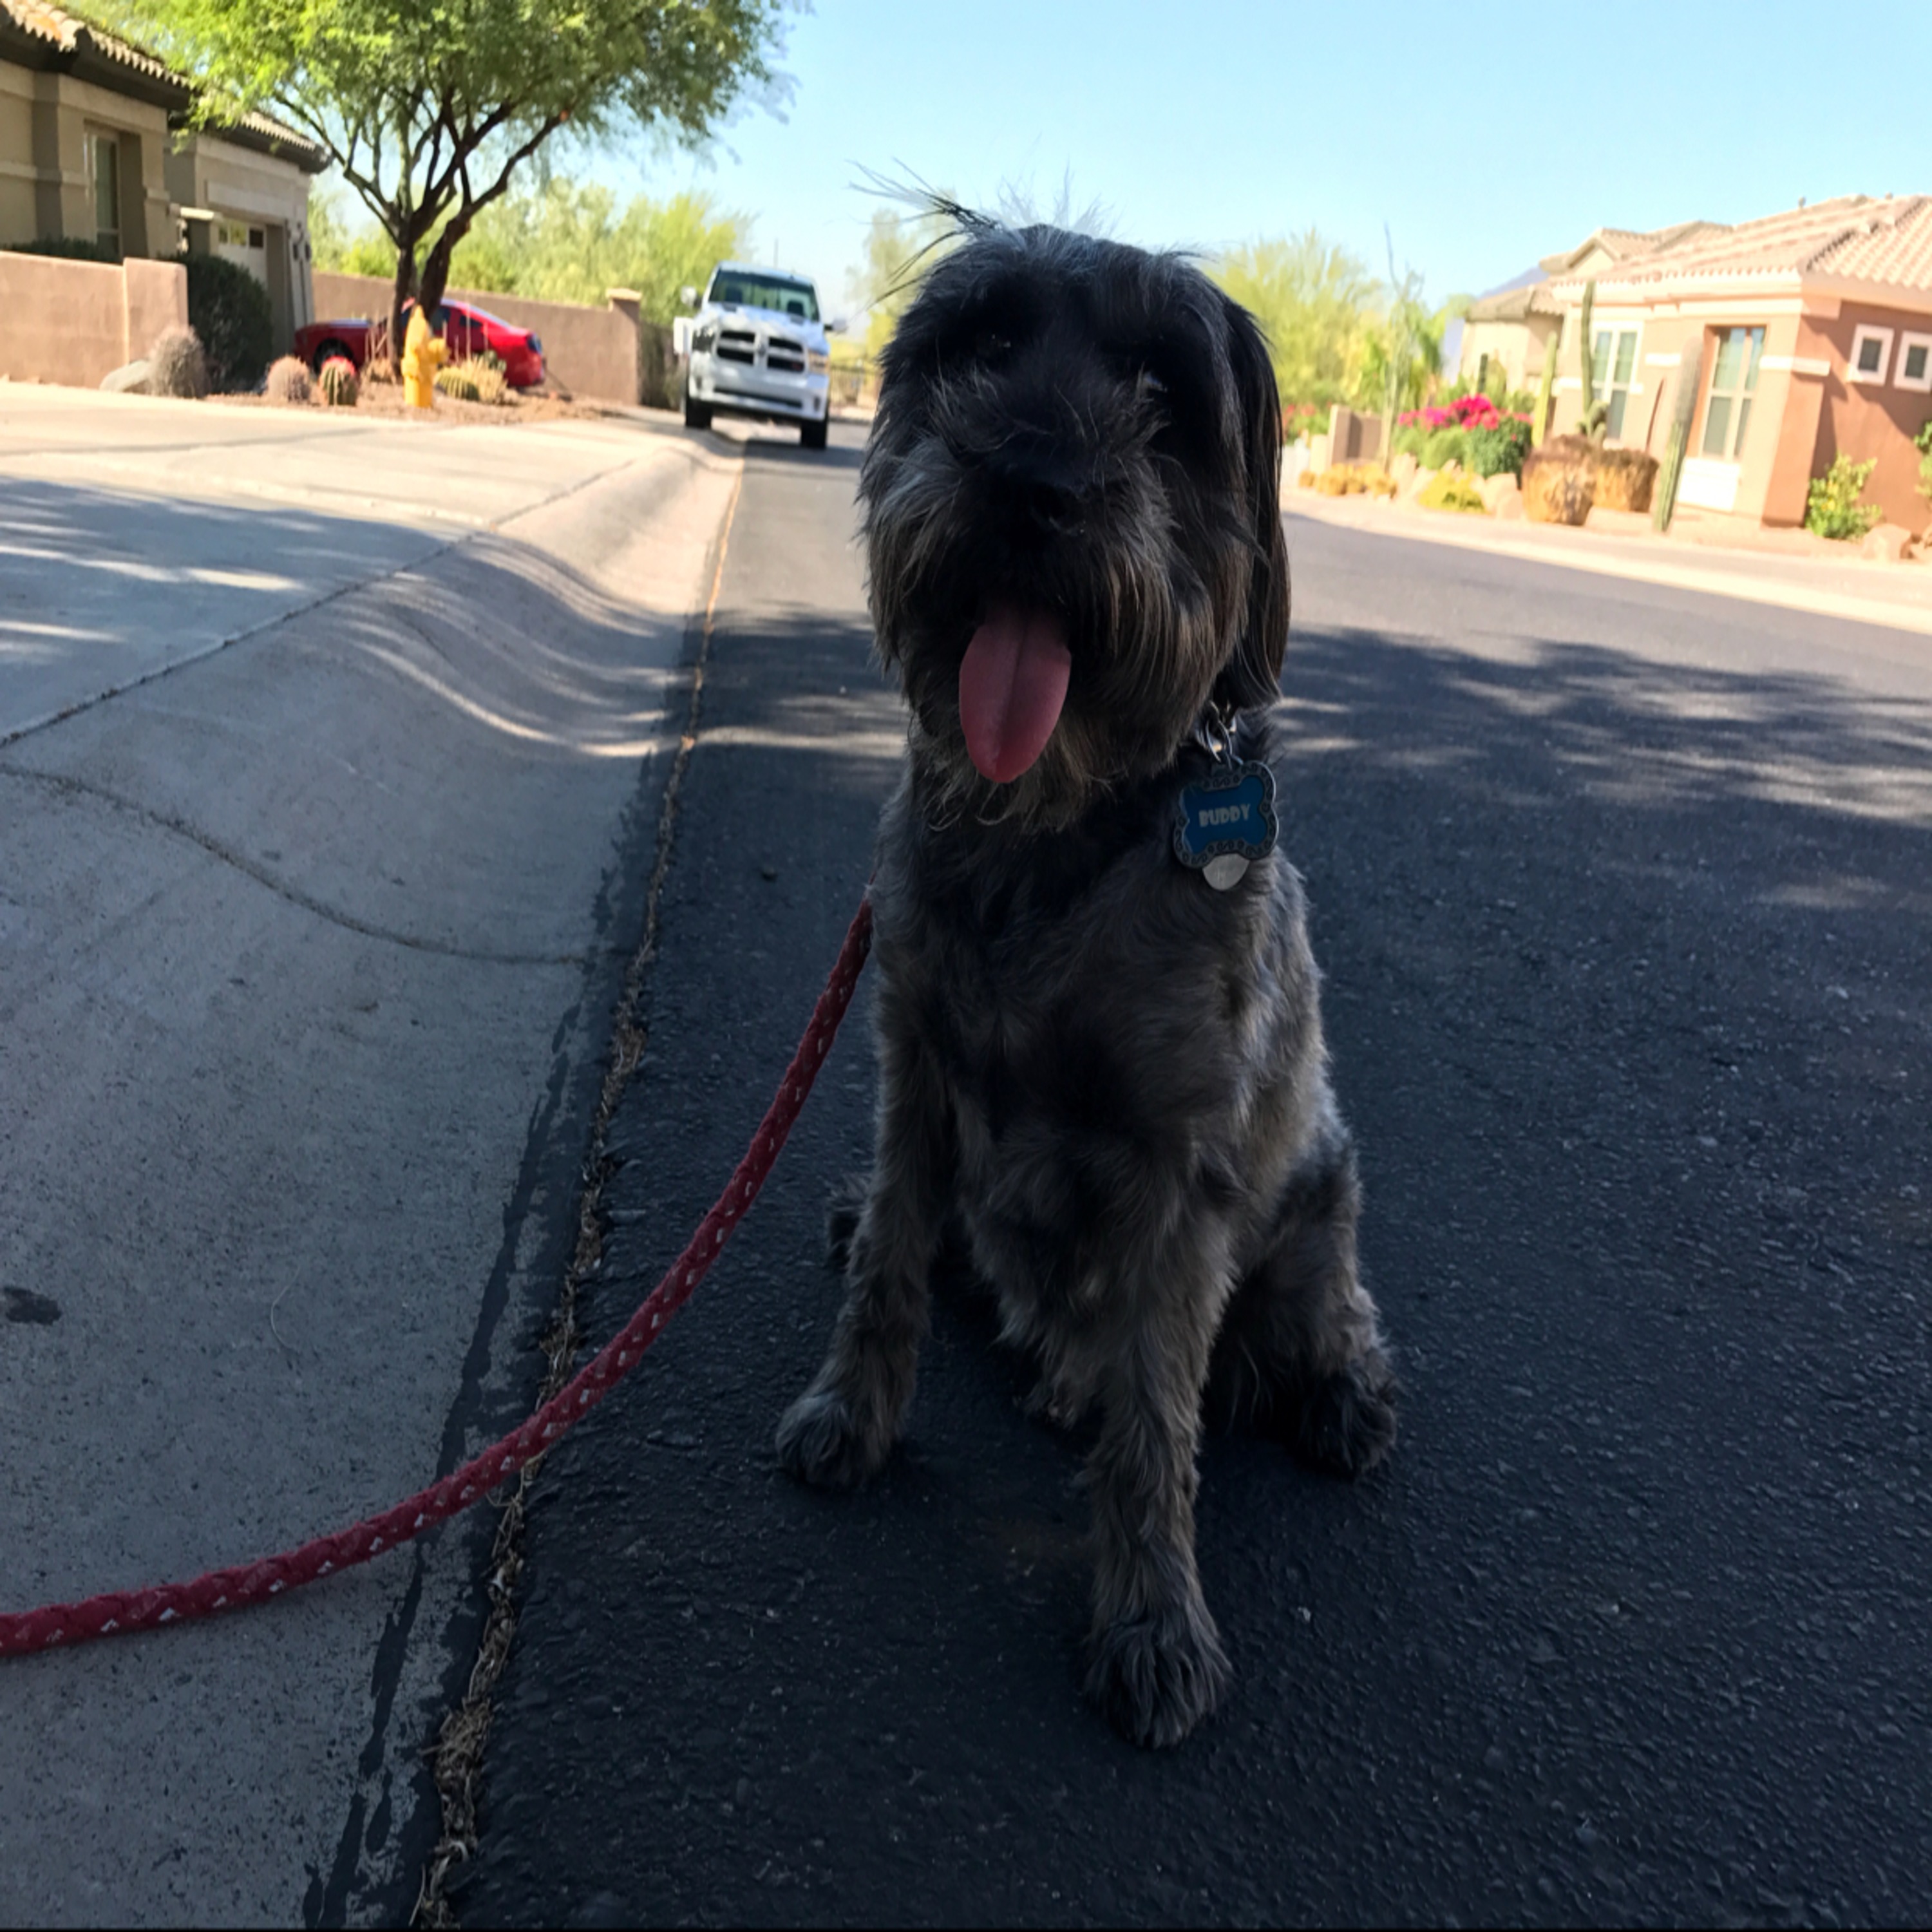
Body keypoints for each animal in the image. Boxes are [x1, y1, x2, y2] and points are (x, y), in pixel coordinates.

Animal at [776, 213, 1396, 1748]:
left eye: (1166, 398)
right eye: (984, 345)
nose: (1031, 484)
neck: (1046, 834)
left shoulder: (1177, 1167)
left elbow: (1157, 1422)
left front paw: (1154, 1618)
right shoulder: (916, 1059)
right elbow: (888, 1267)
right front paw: (850, 1415)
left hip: (1319, 1198)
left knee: (1322, 1315)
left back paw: (1337, 1394)